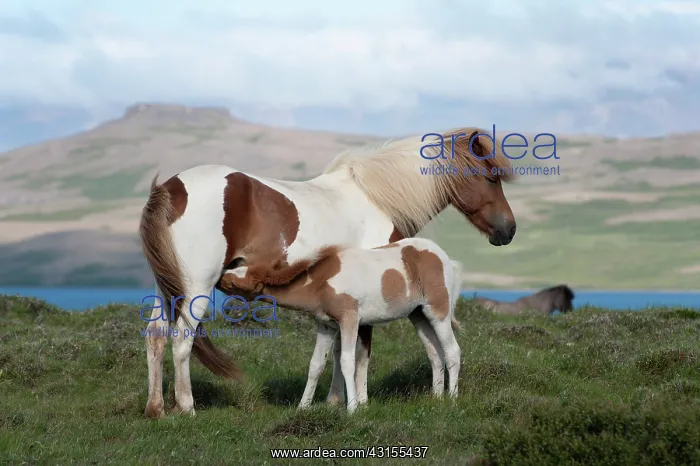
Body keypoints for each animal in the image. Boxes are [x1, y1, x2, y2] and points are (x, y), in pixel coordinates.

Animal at [218, 237, 464, 413]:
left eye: (233, 283)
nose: (219, 276)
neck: (323, 282)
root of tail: (444, 257)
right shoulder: (325, 325)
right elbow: (316, 364)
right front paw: (302, 407)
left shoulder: (350, 321)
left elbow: (347, 362)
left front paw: (353, 408)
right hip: (418, 315)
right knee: (435, 353)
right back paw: (436, 398)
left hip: (437, 312)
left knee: (452, 351)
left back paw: (452, 399)